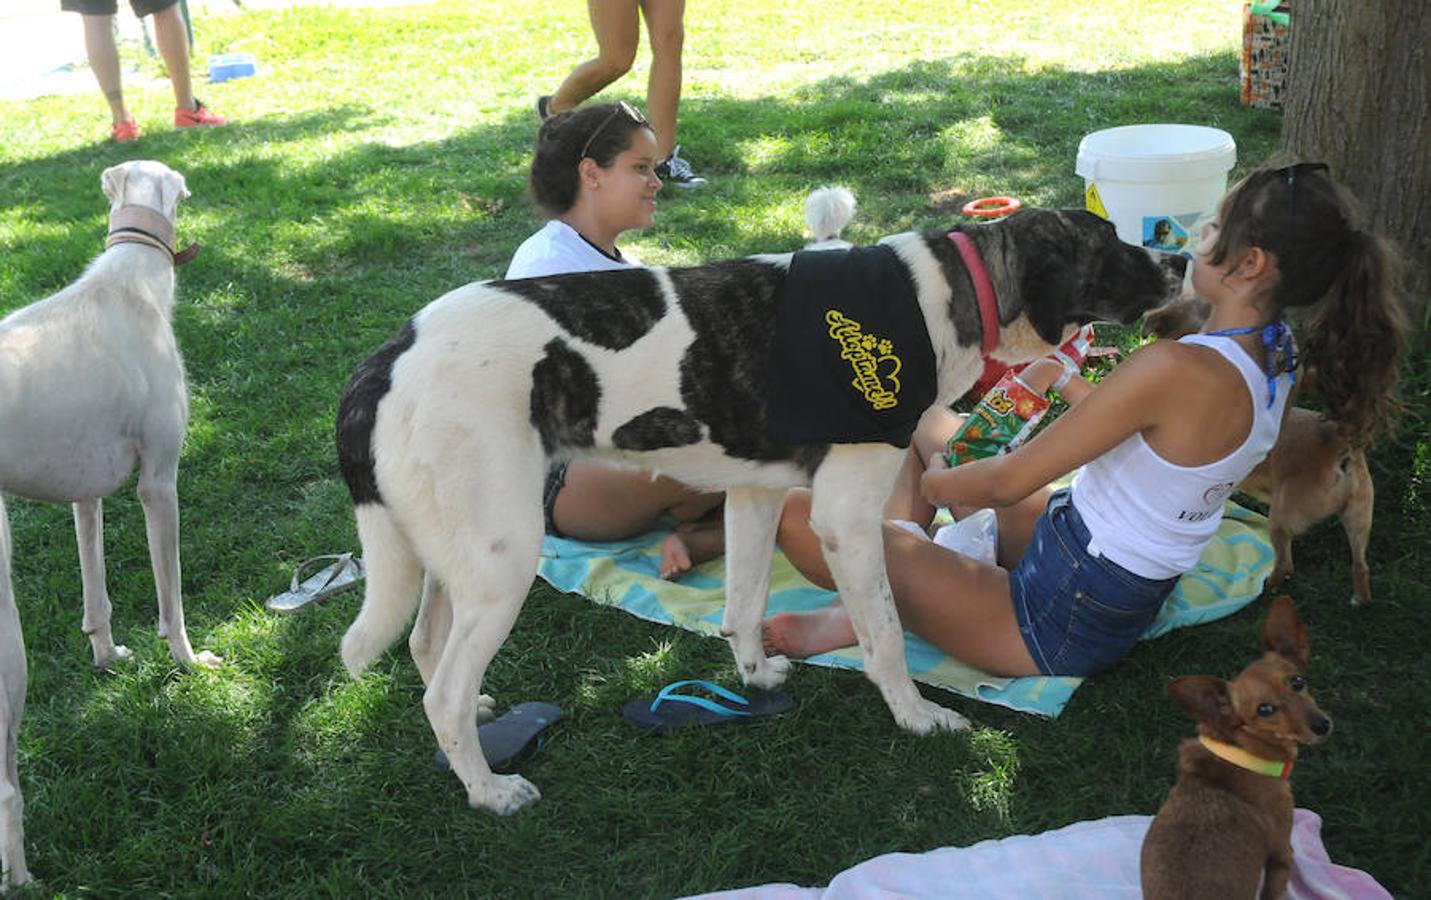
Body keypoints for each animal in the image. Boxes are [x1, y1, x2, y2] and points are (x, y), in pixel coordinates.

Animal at [0, 158, 217, 887]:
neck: (130, 283)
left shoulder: (83, 493)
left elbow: (96, 598)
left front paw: (108, 657)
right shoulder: (160, 484)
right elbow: (171, 602)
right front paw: (189, 663)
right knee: (5, 784)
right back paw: (21, 876)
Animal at [334, 207, 1184, 818]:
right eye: (1108, 243)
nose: (1178, 259)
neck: (944, 294)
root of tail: (389, 353)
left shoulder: (754, 494)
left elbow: (741, 603)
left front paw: (754, 676)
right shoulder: (845, 517)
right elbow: (883, 636)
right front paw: (915, 719)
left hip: (457, 552)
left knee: (427, 648)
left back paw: (478, 723)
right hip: (506, 552)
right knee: (439, 689)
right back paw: (487, 791)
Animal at [1139, 296, 1373, 603]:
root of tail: (1338, 443)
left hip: (1281, 517)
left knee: (1286, 563)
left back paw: (1268, 587)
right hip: (1359, 517)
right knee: (1361, 565)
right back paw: (1360, 599)